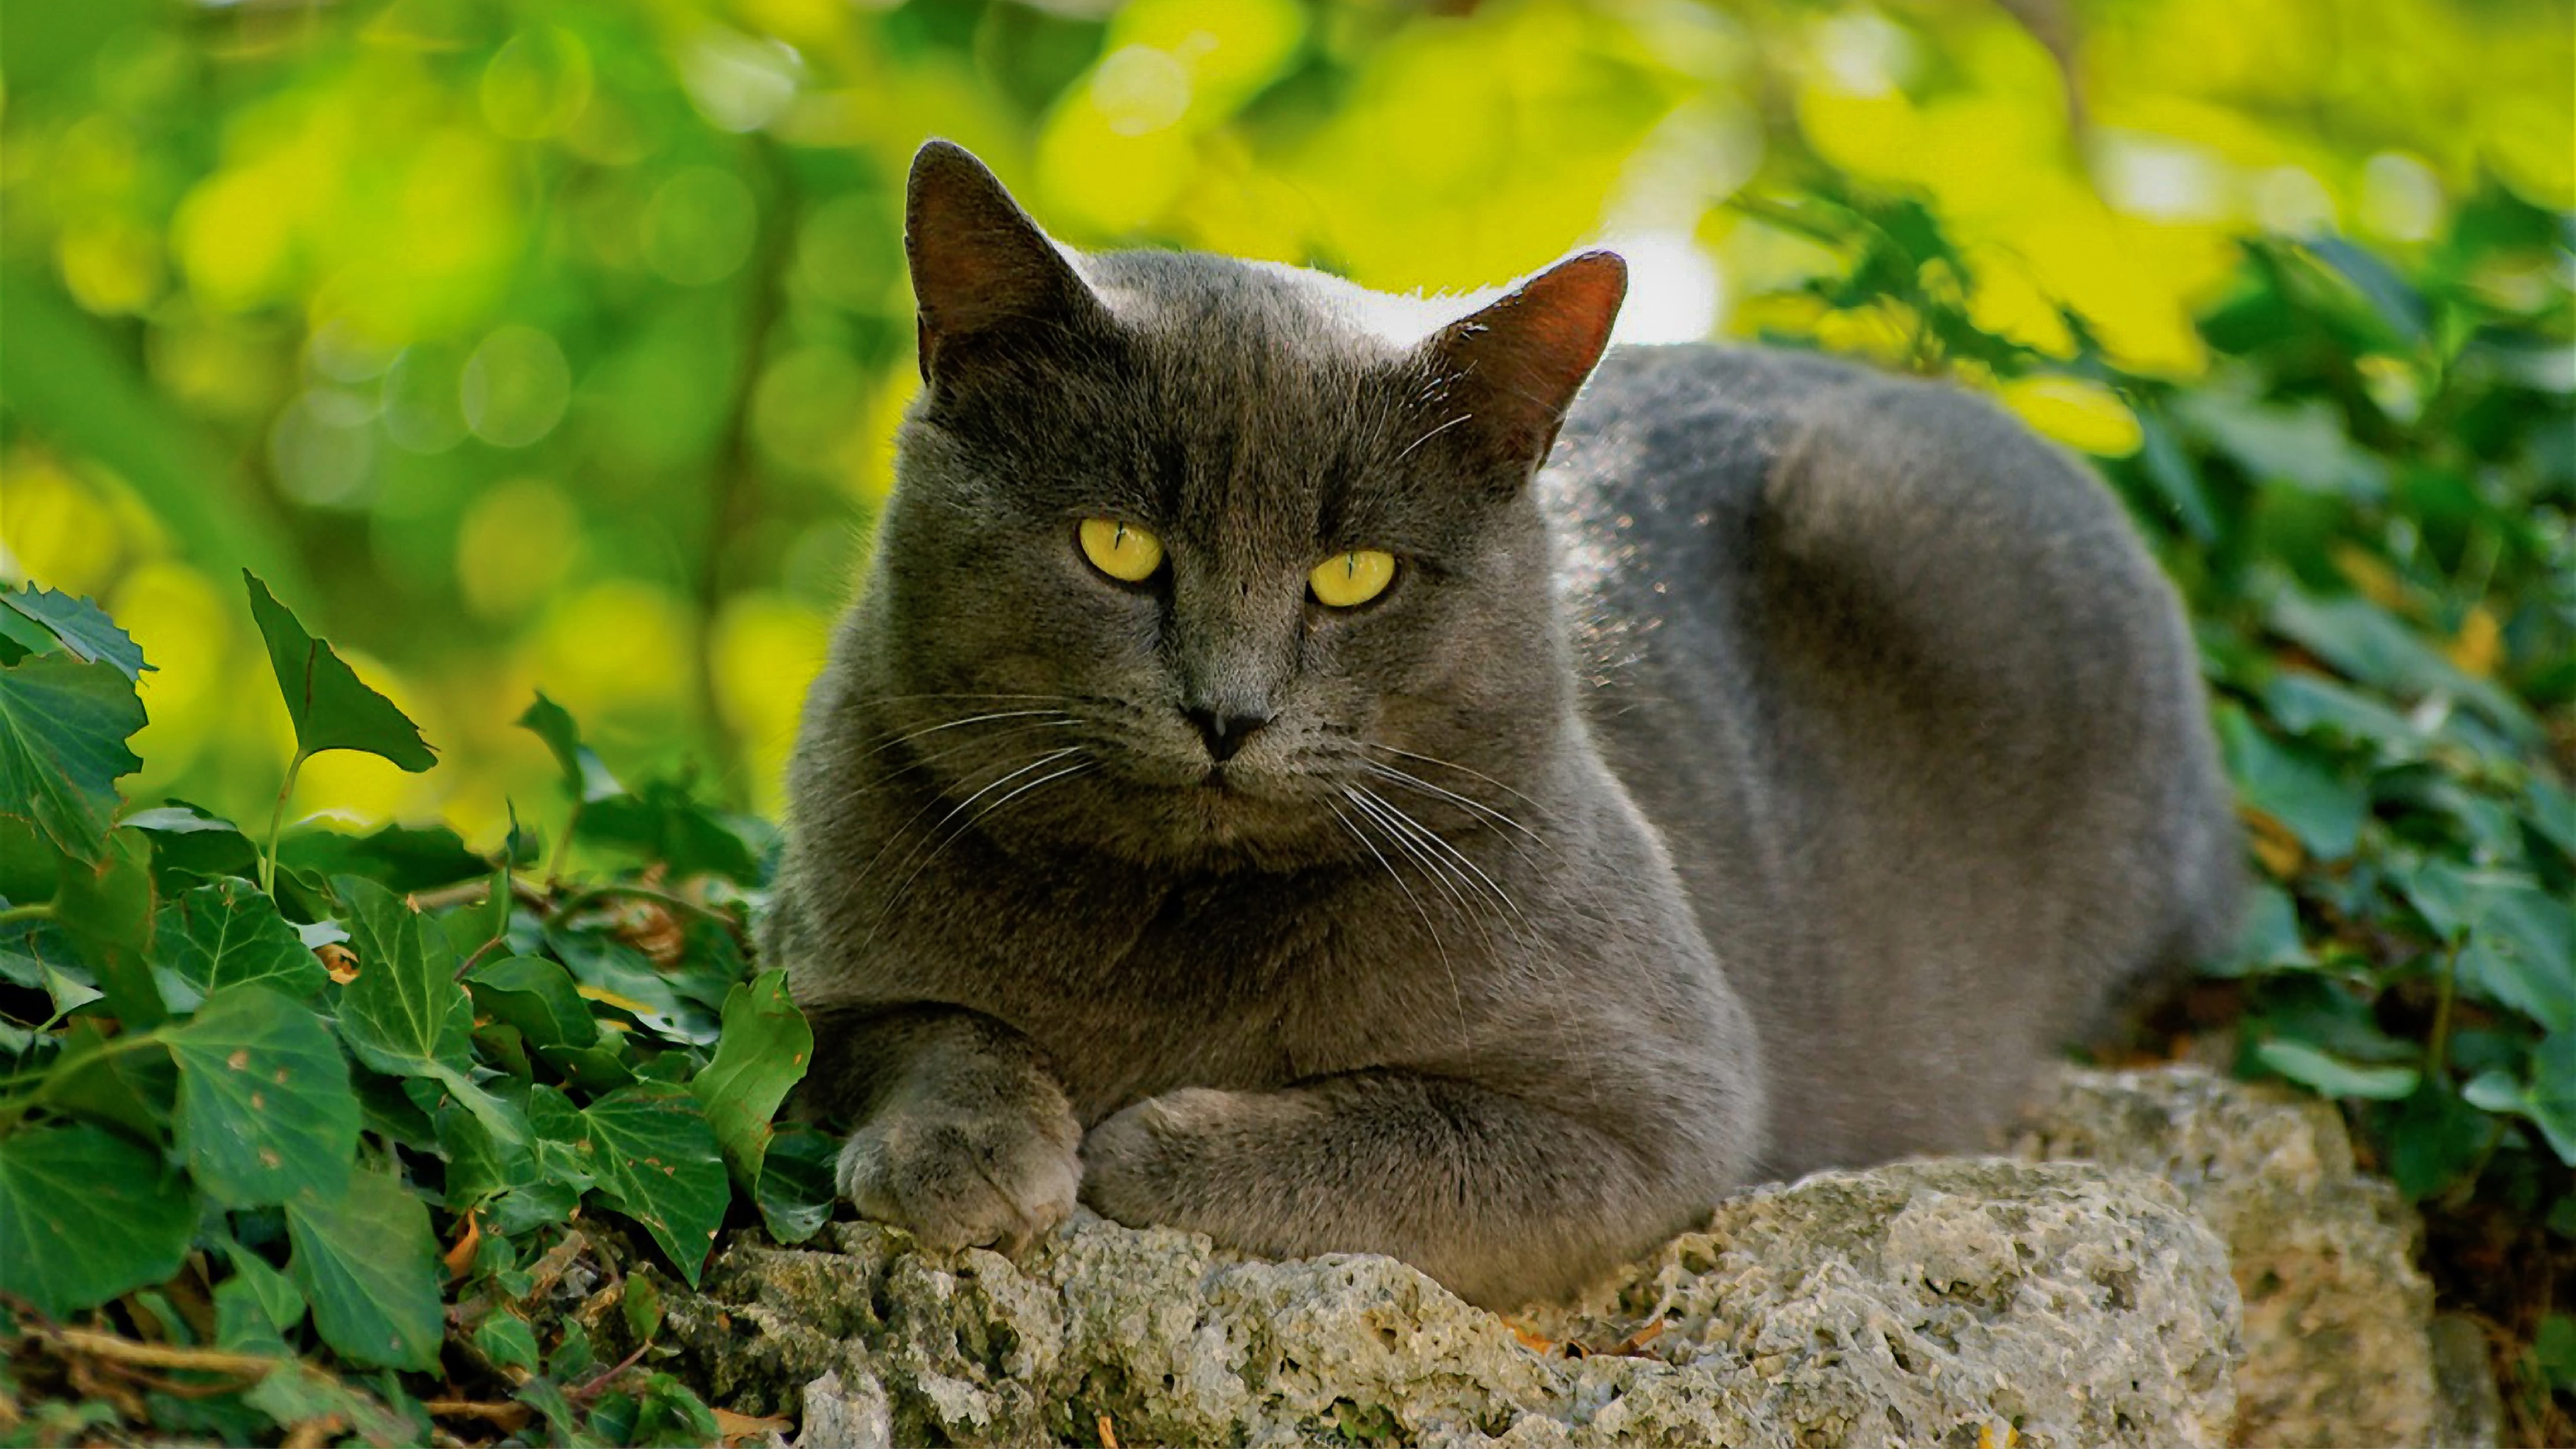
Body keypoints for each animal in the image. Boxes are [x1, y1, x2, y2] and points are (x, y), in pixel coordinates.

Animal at [757, 139, 2236, 1318]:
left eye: (1355, 574)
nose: (1228, 708)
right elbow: (904, 1025)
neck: (1165, 921)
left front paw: (1151, 1139)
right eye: (1116, 546)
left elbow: (1406, 1138)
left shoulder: (1659, 1101)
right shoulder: (808, 948)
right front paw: (967, 1144)